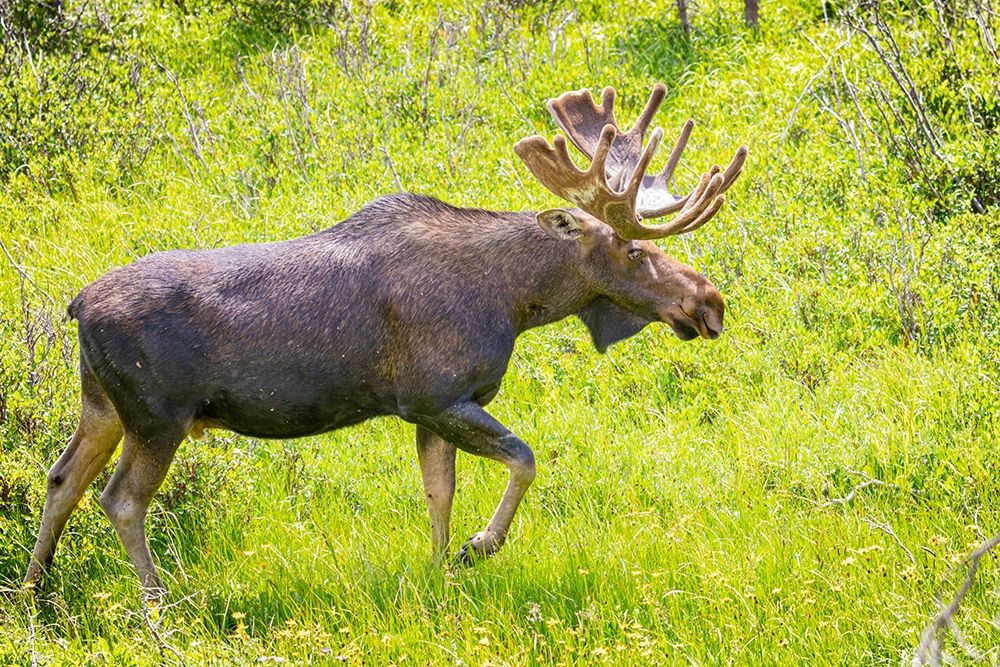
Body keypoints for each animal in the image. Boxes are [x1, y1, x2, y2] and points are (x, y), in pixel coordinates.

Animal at [24, 83, 746, 601]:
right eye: (633, 248)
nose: (708, 302)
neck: (517, 299)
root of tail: (77, 306)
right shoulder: (434, 395)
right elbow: (524, 459)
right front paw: (478, 547)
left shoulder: (437, 408)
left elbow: (439, 493)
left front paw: (440, 572)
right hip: (157, 414)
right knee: (120, 499)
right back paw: (159, 606)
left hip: (103, 404)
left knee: (60, 479)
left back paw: (36, 593)